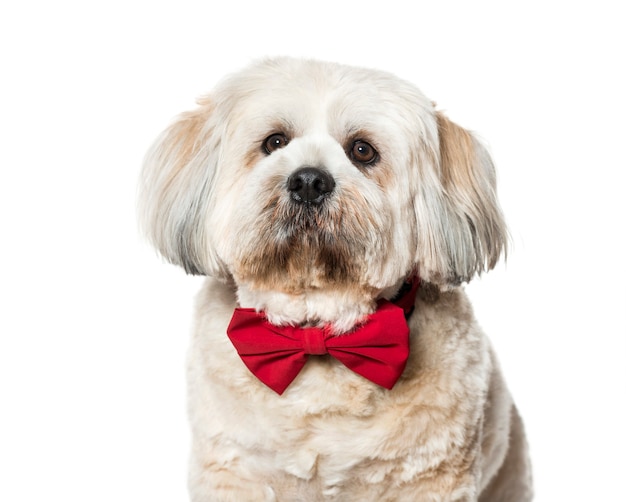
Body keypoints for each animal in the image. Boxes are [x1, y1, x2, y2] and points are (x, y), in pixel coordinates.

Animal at [140, 56, 532, 500]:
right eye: (275, 142)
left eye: (362, 150)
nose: (309, 181)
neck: (317, 332)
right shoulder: (234, 470)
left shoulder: (429, 477)